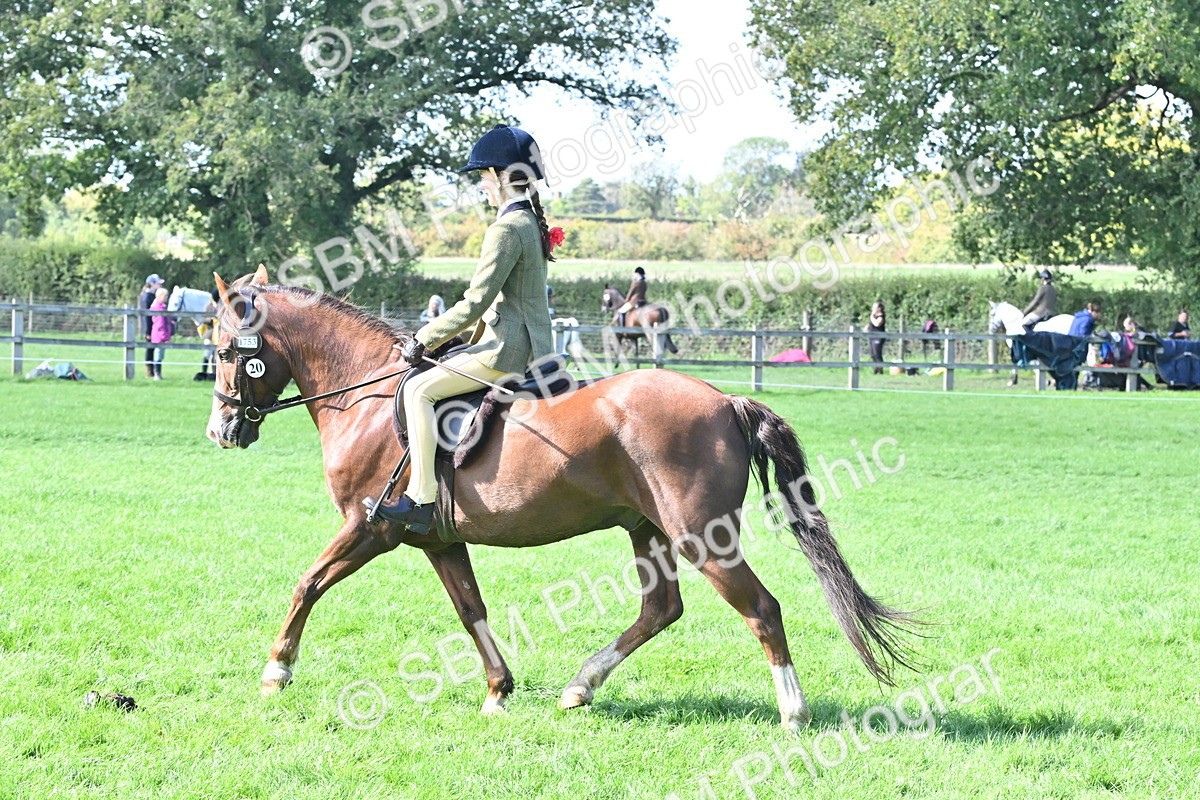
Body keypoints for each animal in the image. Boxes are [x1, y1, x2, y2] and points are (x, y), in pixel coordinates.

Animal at [207, 267, 917, 732]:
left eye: (225, 350)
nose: (223, 430)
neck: (369, 395)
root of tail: (724, 400)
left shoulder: (369, 528)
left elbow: (307, 583)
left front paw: (277, 671)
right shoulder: (438, 540)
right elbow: (471, 610)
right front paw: (499, 691)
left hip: (700, 536)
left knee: (761, 609)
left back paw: (792, 712)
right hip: (646, 529)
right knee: (661, 608)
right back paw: (580, 688)